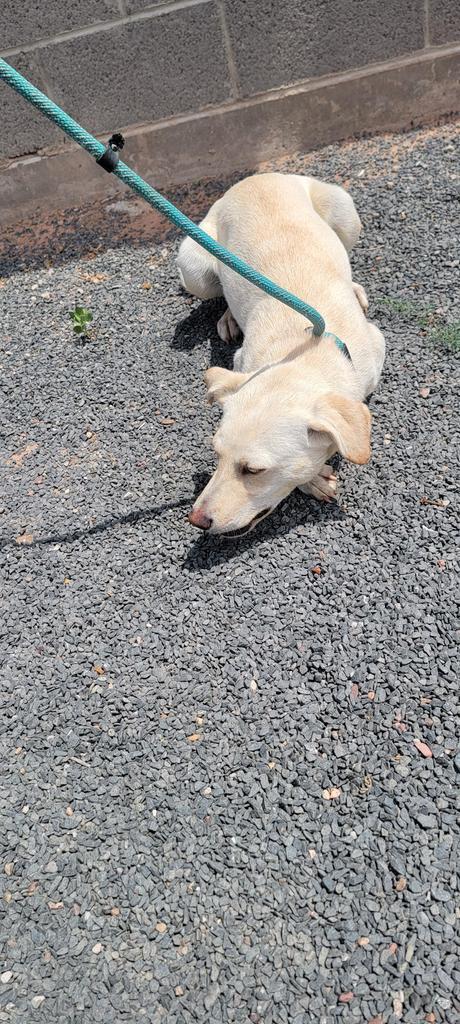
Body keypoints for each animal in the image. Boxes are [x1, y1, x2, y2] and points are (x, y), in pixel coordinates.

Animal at [176, 172, 383, 536]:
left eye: (253, 470)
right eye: (216, 453)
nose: (196, 520)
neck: (304, 351)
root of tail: (255, 178)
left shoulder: (376, 347)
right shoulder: (242, 362)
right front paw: (312, 480)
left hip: (344, 212)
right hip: (194, 266)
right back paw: (229, 317)